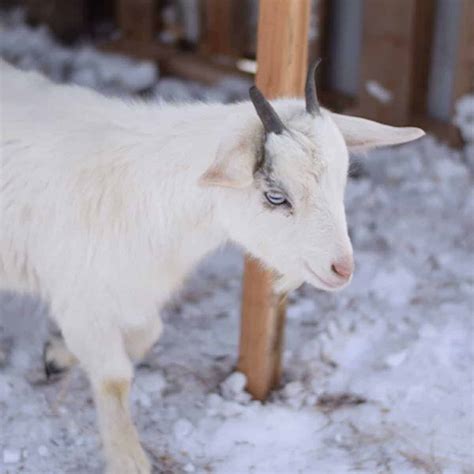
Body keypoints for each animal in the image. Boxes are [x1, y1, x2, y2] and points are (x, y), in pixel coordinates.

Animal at [0, 60, 422, 474]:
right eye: (276, 196)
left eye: (342, 181)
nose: (342, 268)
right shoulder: (79, 298)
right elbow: (115, 377)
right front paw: (128, 460)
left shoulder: (133, 293)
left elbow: (149, 333)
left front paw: (57, 355)